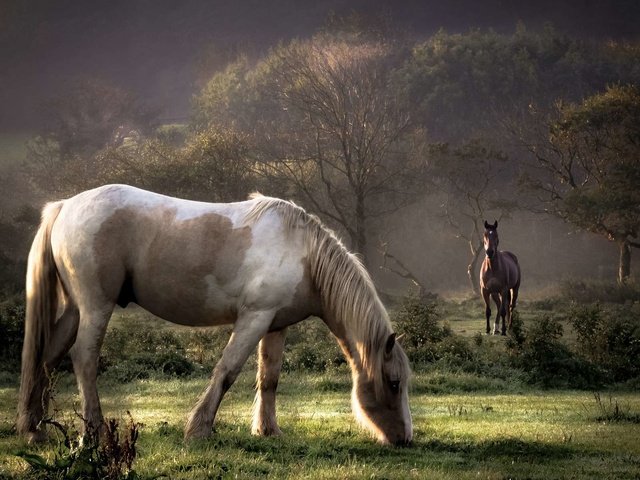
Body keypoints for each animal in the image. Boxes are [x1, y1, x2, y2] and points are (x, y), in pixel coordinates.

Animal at [18, 185, 416, 446]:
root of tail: (64, 207)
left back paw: (33, 428)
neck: (304, 254)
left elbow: (269, 379)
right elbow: (227, 372)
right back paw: (93, 433)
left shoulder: (276, 325)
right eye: (394, 382)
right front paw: (198, 429)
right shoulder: (253, 319)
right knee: (83, 358)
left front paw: (268, 431)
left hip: (74, 309)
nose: (404, 439)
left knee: (47, 357)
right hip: (96, 306)